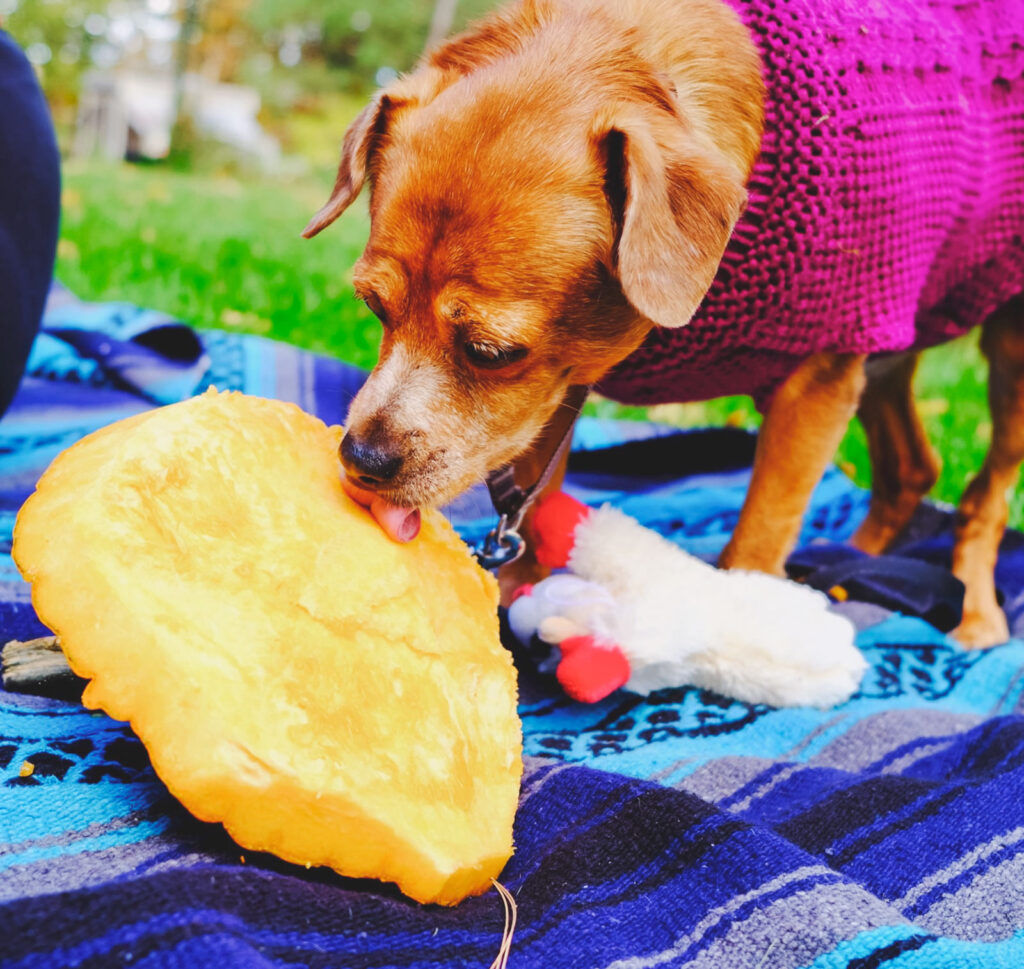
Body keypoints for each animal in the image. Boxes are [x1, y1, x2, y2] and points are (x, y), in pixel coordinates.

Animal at [303, 1, 1024, 651]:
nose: (361, 458)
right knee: (912, 468)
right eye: (373, 308)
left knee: (985, 492)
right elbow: (535, 500)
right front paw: (520, 593)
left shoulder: (817, 383)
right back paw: (852, 568)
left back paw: (973, 611)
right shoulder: (554, 393)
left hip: (998, 354)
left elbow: (757, 542)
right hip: (891, 342)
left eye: (490, 351)